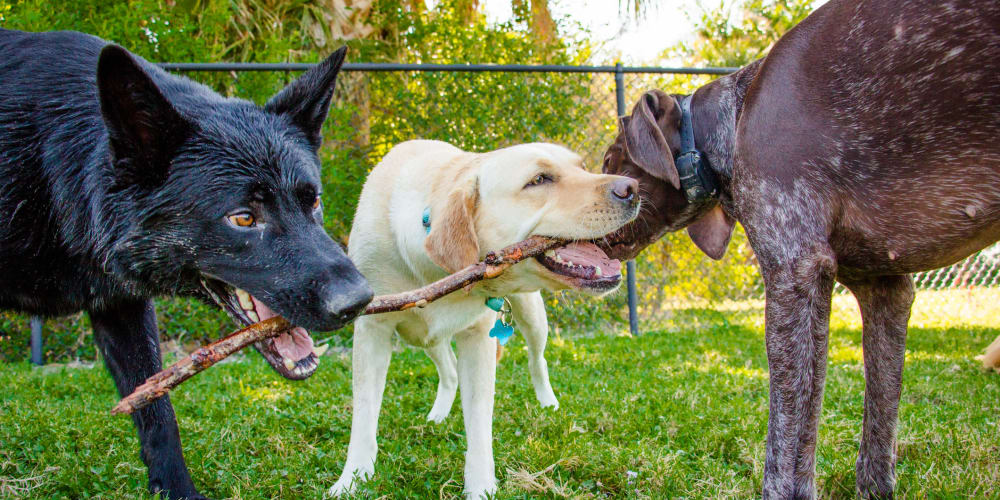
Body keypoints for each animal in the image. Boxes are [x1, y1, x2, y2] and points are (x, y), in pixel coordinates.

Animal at [600, 0, 1000, 500]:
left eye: (610, 161)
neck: (732, 122)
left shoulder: (795, 270)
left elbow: (787, 438)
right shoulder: (885, 287)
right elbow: (879, 417)